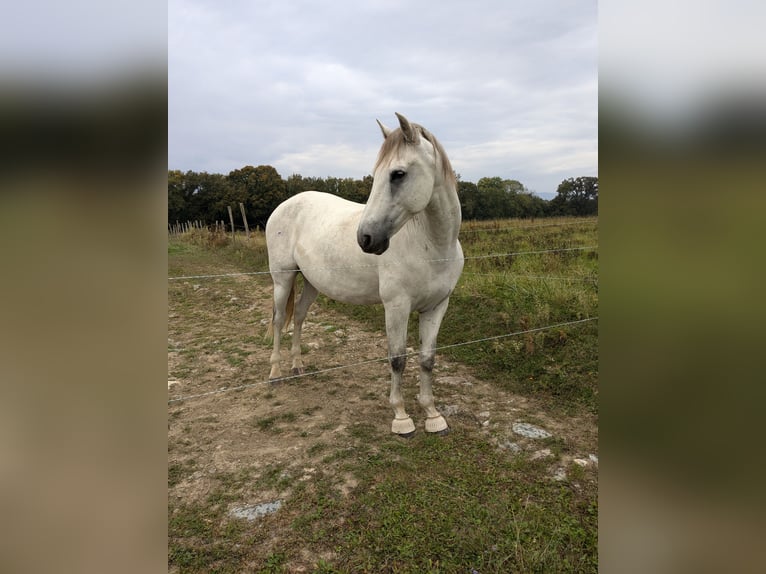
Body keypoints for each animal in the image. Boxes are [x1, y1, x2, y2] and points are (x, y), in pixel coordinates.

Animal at [268, 113, 464, 436]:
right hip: (282, 279)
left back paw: (297, 366)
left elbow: (427, 359)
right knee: (277, 321)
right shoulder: (396, 306)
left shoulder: (437, 306)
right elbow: (398, 359)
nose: (366, 238)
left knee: (298, 318)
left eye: (397, 174)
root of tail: (285, 205)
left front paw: (432, 415)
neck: (431, 245)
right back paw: (275, 372)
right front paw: (401, 418)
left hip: (311, 283)